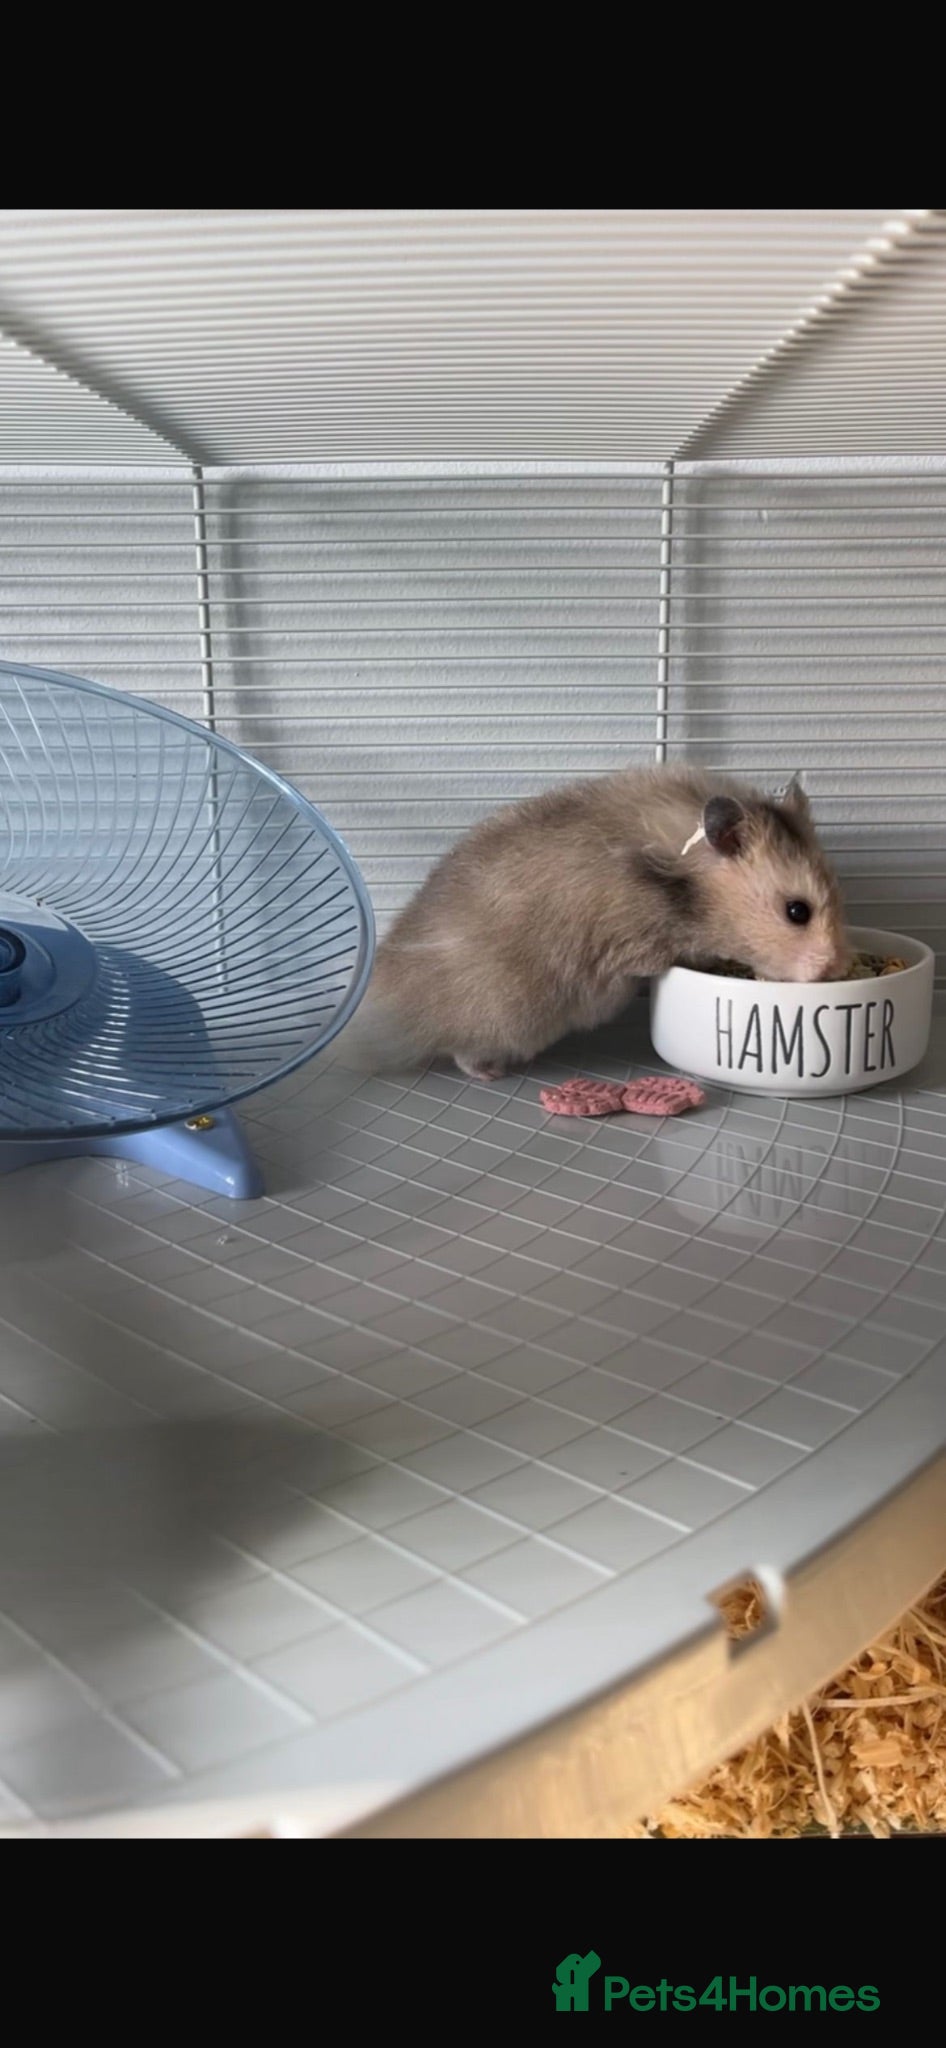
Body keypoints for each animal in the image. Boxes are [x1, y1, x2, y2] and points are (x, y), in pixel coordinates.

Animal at [357, 765, 850, 1081]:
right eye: (797, 911)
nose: (835, 969)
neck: (685, 882)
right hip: (502, 1016)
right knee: (460, 1049)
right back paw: (489, 1073)